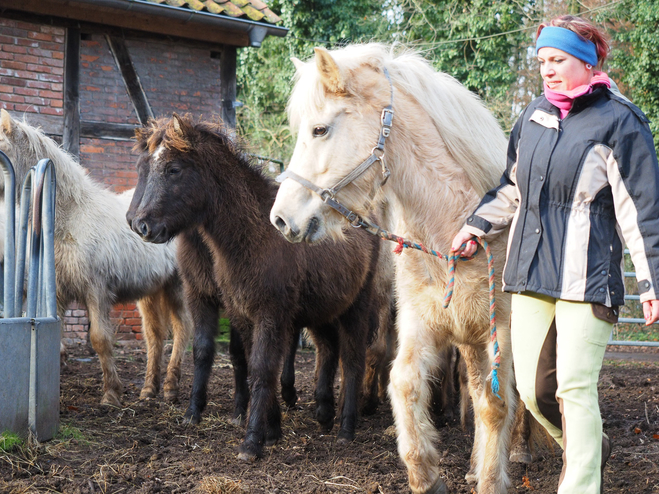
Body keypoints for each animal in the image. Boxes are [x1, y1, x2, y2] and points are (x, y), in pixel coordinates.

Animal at [0, 110, 192, 408]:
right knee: (154, 335)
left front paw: (111, 394)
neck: (70, 218)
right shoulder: (57, 293)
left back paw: (171, 388)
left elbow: (100, 339)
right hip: (150, 292)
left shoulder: (96, 290)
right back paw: (149, 389)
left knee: (183, 329)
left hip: (176, 287)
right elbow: (58, 340)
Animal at [127, 114, 382, 462]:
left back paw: (346, 429)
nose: (141, 225)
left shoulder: (270, 315)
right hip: (324, 311)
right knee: (329, 350)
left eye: (173, 169)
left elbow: (261, 369)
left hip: (356, 307)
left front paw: (251, 442)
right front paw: (271, 430)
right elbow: (253, 365)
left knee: (353, 360)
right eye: (143, 168)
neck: (253, 235)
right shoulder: (242, 314)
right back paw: (325, 414)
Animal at [270, 43, 516, 494]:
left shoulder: (500, 333)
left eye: (319, 130)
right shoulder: (422, 324)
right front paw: (426, 475)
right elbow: (403, 384)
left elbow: (495, 405)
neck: (455, 230)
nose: (281, 219)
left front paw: (493, 479)